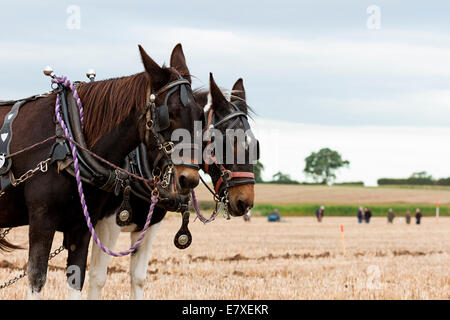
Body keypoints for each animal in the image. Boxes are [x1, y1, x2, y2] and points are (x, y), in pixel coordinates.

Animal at [0, 43, 200, 298]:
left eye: (200, 114)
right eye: (170, 114)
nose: (189, 178)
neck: (68, 140)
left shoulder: (82, 225)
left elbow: (77, 278)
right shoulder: (42, 220)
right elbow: (37, 278)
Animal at [87, 73, 256, 300]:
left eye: (255, 145)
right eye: (226, 142)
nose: (245, 201)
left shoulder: (150, 225)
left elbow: (138, 277)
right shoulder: (108, 223)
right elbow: (97, 277)